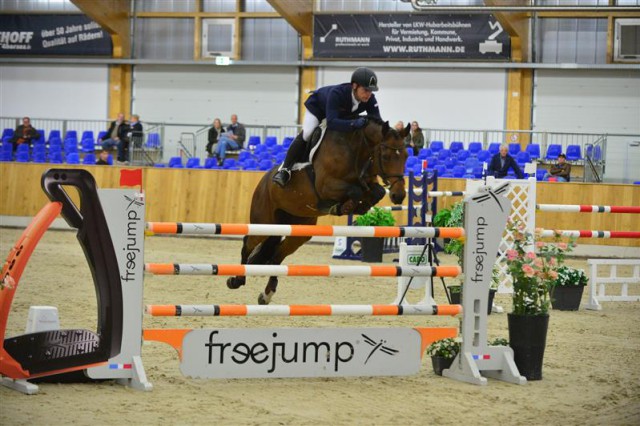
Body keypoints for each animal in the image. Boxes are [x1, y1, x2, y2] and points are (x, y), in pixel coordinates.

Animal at [228, 118, 408, 304]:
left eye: (406, 156)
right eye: (386, 157)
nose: (399, 195)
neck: (358, 151)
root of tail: (264, 180)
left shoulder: (367, 182)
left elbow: (376, 192)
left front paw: (355, 206)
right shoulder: (326, 186)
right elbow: (356, 191)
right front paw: (344, 206)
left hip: (299, 230)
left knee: (276, 257)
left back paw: (267, 294)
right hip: (264, 222)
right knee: (248, 244)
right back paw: (236, 280)